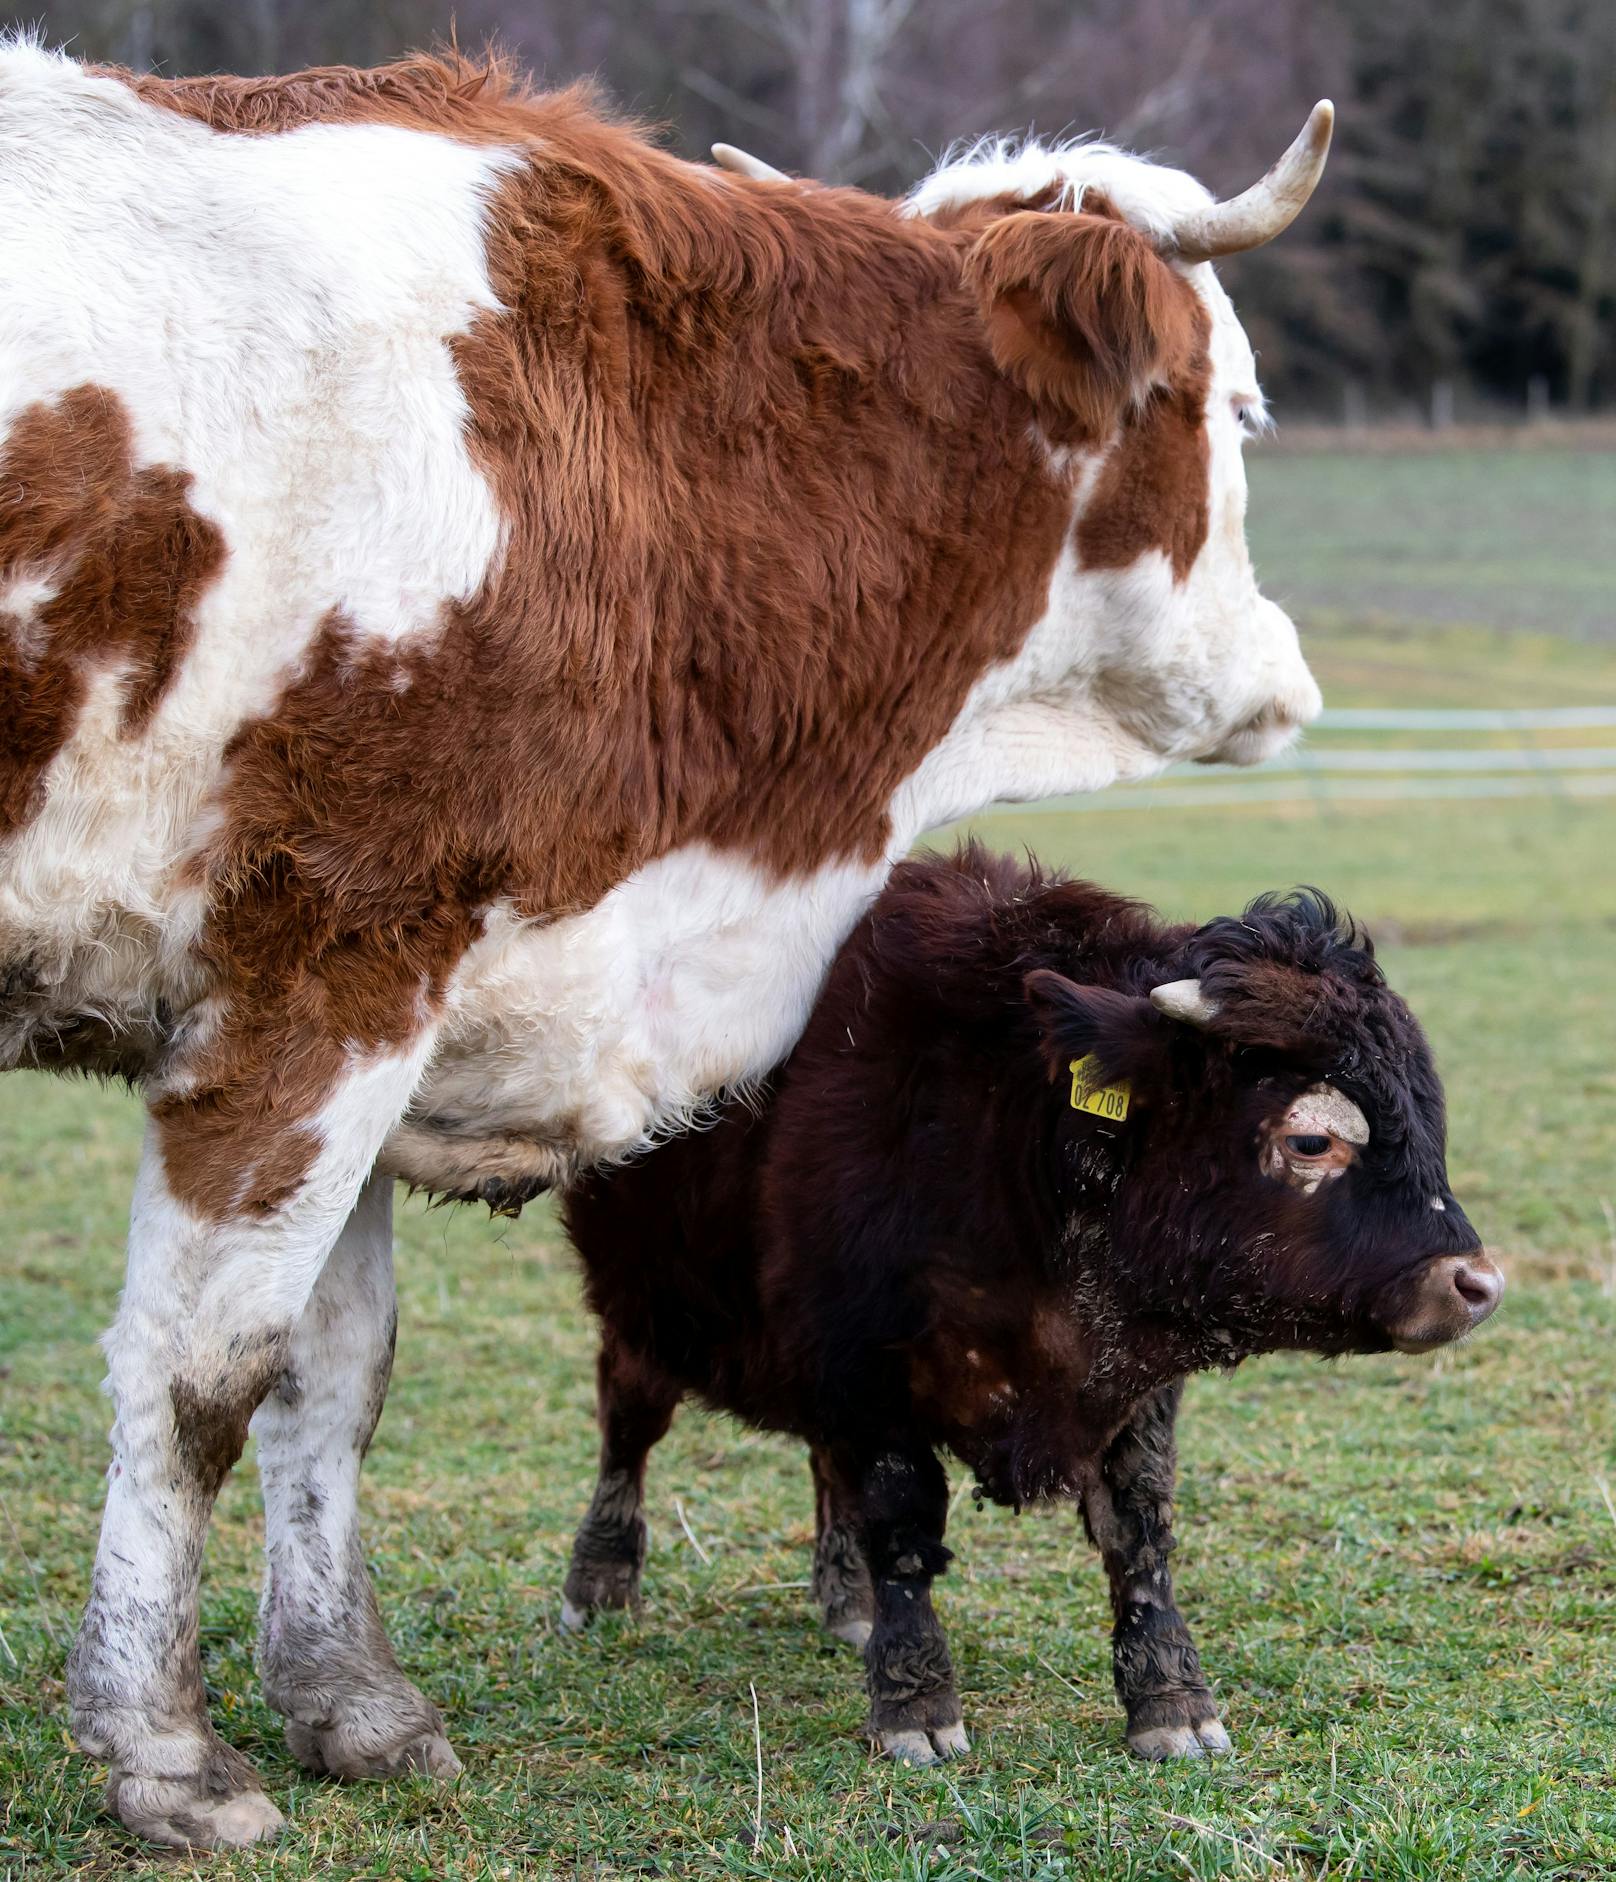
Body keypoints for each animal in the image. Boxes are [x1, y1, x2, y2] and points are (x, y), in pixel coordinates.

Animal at [0, 36, 1331, 1844]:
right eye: (1241, 407)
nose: (1285, 675)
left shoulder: (402, 990)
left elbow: (330, 1372)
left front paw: (348, 1700)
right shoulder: (317, 980)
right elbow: (206, 1375)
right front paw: (163, 1746)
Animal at [560, 850, 1505, 1761]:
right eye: (1312, 1140)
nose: (1477, 1285)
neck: (1015, 1139)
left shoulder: (1133, 1377)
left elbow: (1139, 1531)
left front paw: (1173, 1703)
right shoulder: (865, 1365)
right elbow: (902, 1523)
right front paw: (915, 1707)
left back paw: (846, 1601)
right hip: (646, 1313)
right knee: (630, 1428)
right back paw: (600, 1585)